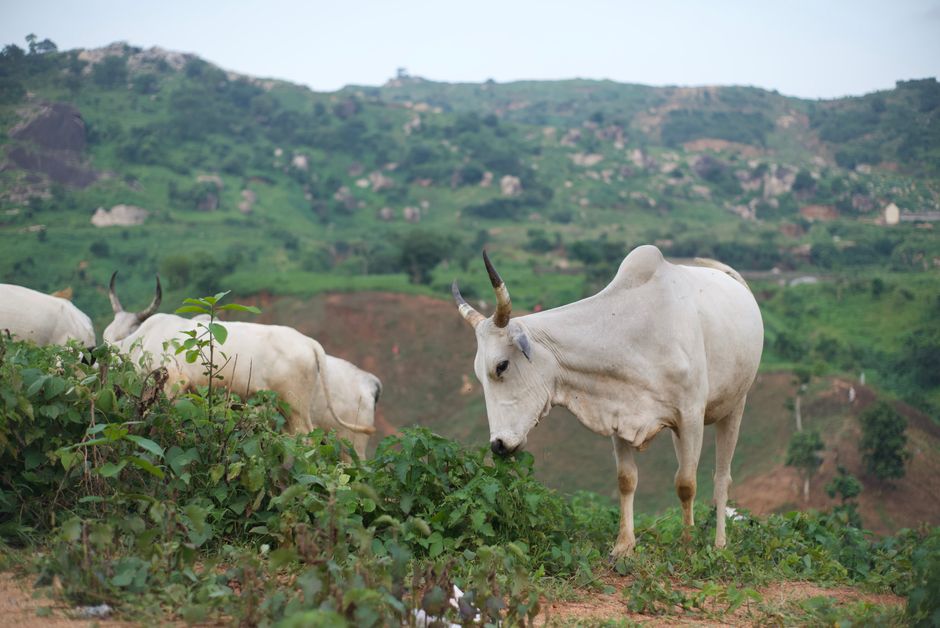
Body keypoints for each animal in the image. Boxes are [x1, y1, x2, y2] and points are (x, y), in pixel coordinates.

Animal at [103, 274, 377, 457]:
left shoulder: (173, 382)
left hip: (297, 406)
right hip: (285, 409)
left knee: (306, 439)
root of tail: (310, 343)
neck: (141, 340)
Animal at [452, 246, 763, 557]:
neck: (634, 333)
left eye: (501, 365)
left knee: (721, 478)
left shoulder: (690, 416)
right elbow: (626, 480)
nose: (498, 445)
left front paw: (686, 548)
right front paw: (624, 546)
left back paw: (720, 544)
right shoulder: (618, 414)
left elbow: (686, 484)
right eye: (478, 374)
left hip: (735, 406)